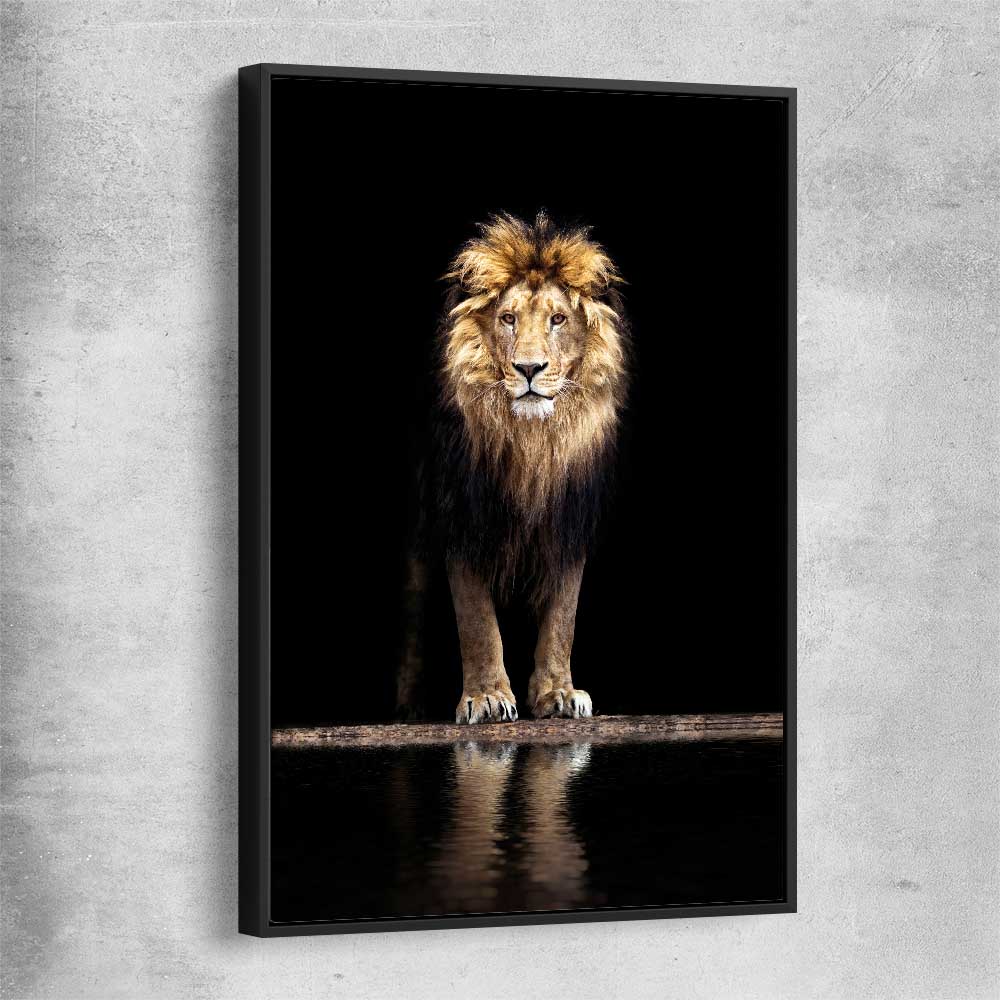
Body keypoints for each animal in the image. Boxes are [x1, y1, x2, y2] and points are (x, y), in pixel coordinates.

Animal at [397, 210, 630, 724]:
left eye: (558, 319)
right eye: (508, 319)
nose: (528, 368)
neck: (532, 443)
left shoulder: (568, 522)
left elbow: (563, 617)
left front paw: (559, 693)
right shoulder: (463, 515)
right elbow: (477, 620)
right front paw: (486, 697)